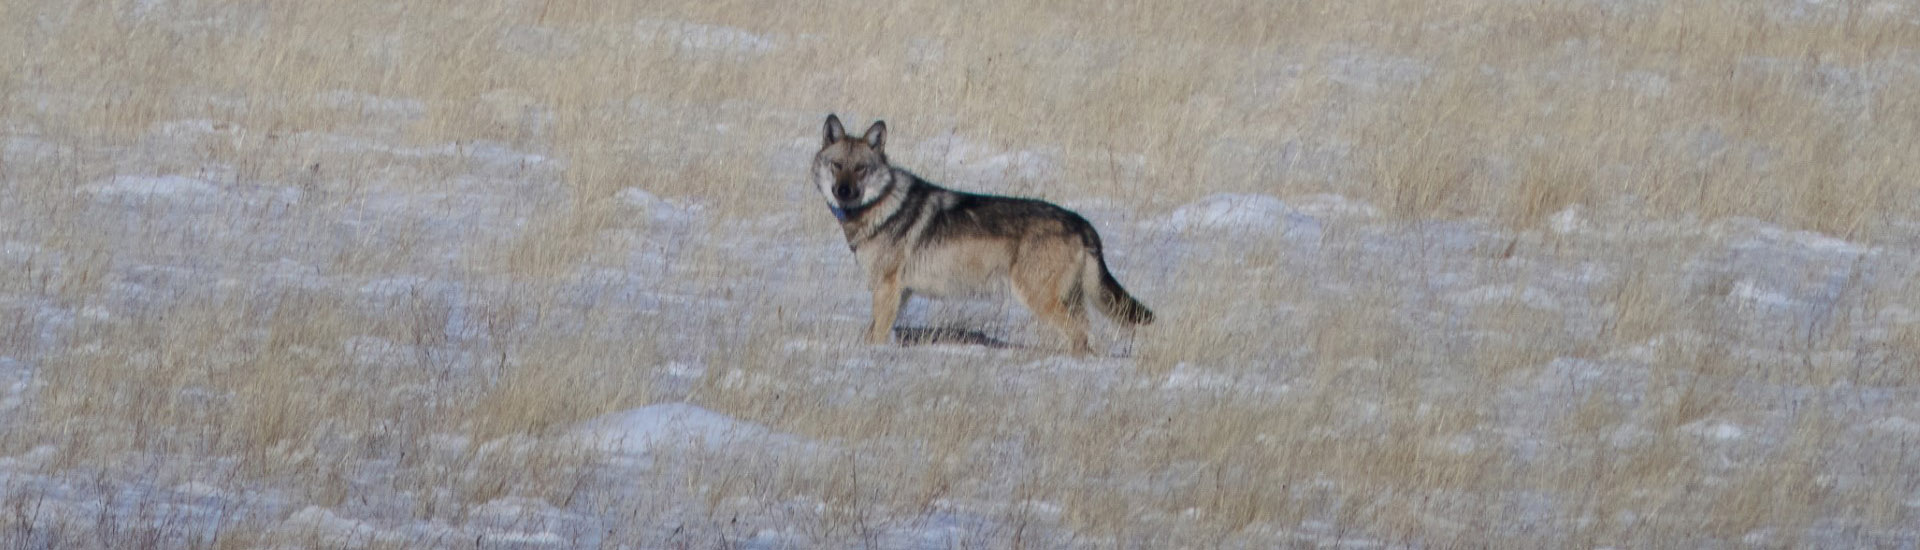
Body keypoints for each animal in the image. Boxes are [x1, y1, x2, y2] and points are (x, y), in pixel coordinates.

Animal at [810, 114, 1152, 355]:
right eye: (837, 165)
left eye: (861, 169)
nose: (843, 192)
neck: (880, 206)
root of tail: (1082, 222)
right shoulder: (900, 292)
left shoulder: (887, 288)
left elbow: (878, 336)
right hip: (1069, 301)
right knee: (1089, 336)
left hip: (1038, 298)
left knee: (1080, 336)